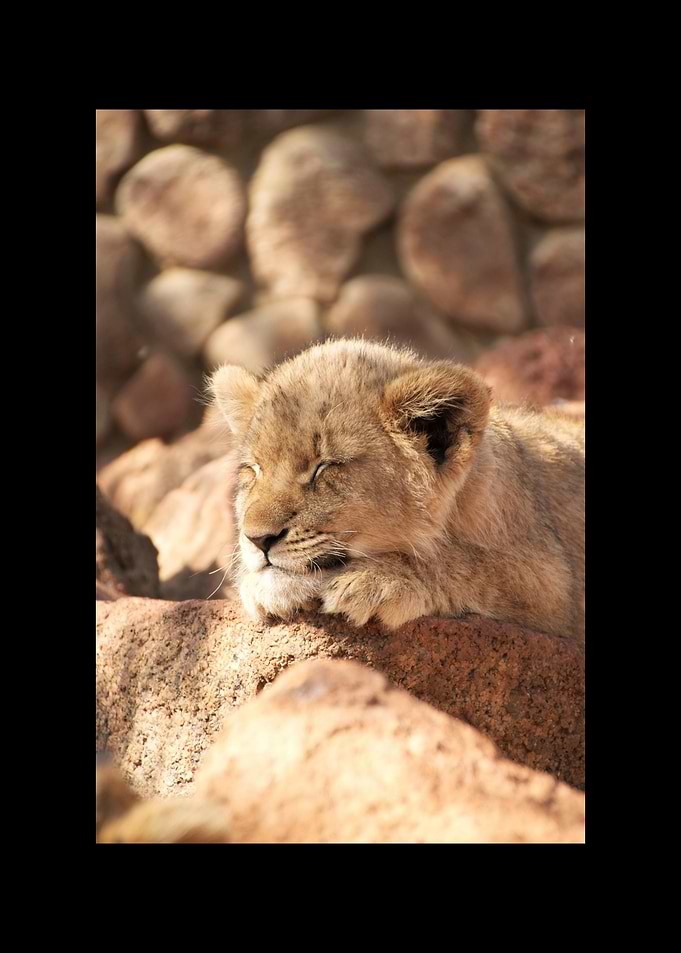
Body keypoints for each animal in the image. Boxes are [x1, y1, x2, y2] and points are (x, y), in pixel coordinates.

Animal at [209, 339, 584, 640]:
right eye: (254, 469)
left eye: (325, 466)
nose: (257, 539)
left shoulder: (554, 584)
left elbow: (468, 564)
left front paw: (380, 580)